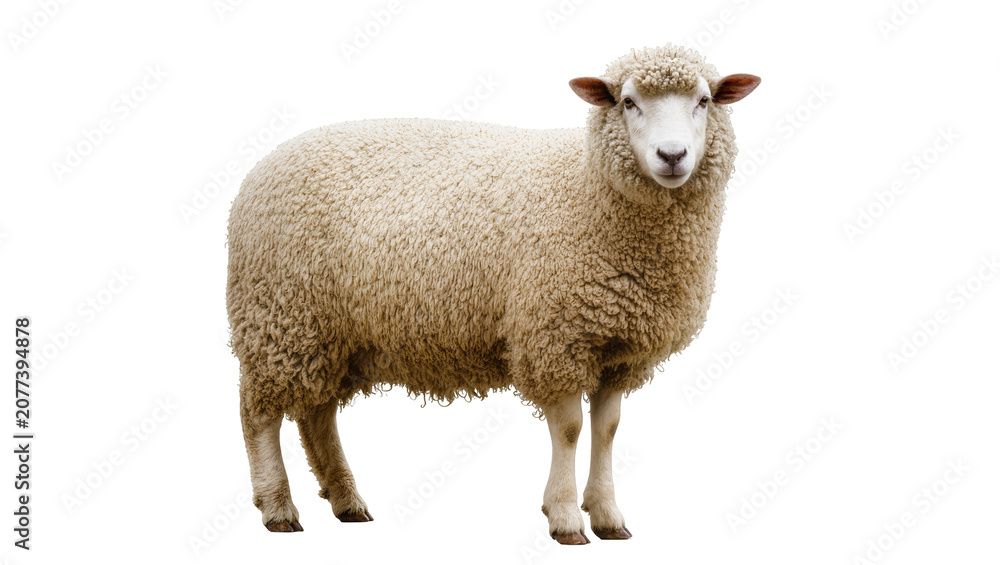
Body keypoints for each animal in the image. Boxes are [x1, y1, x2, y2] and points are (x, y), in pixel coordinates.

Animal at [226, 44, 759, 544]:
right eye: (628, 102)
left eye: (705, 100)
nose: (672, 156)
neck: (588, 188)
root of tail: (261, 167)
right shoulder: (554, 336)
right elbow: (570, 430)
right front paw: (565, 518)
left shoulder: (617, 348)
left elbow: (607, 430)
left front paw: (608, 516)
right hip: (279, 316)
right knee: (258, 413)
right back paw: (278, 507)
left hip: (330, 334)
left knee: (316, 414)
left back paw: (346, 501)